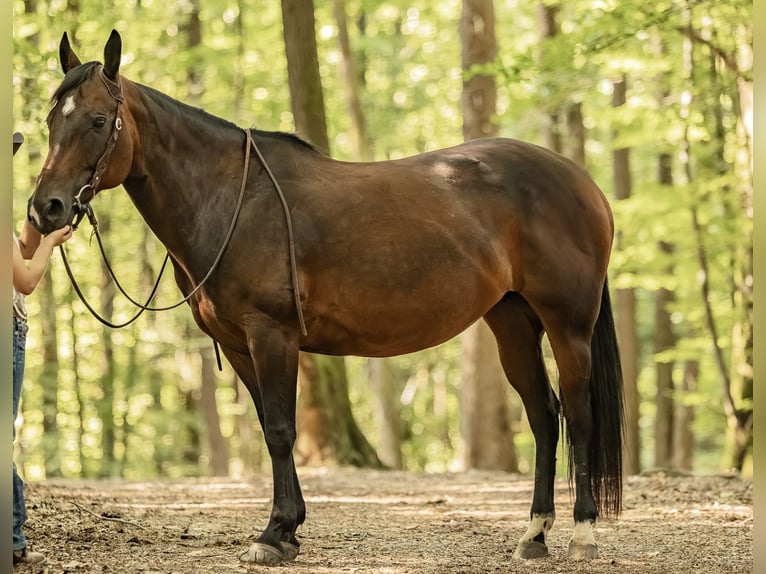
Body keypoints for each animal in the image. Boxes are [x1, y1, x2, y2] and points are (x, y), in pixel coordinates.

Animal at [28, 30, 623, 566]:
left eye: (98, 121)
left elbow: (281, 431)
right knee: (544, 417)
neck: (231, 198)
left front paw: (274, 535)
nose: (45, 210)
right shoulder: (239, 344)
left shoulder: (271, 335)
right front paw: (288, 530)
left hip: (567, 326)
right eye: (52, 120)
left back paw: (584, 534)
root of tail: (582, 181)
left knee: (578, 415)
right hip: (513, 323)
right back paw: (534, 535)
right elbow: (272, 428)